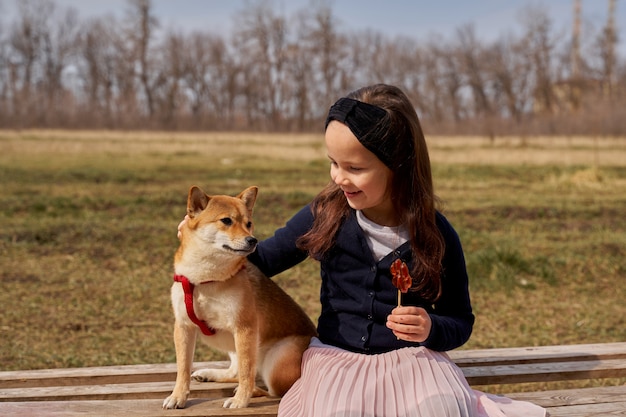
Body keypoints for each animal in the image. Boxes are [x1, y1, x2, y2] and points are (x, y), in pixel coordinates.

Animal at [162, 187, 316, 408]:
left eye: (248, 223)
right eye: (226, 221)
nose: (253, 240)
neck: (205, 280)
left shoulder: (244, 328)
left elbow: (246, 372)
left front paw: (241, 400)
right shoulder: (184, 327)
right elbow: (182, 369)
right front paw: (178, 396)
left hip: (277, 362)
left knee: (272, 389)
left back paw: (252, 391)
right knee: (237, 371)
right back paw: (209, 374)